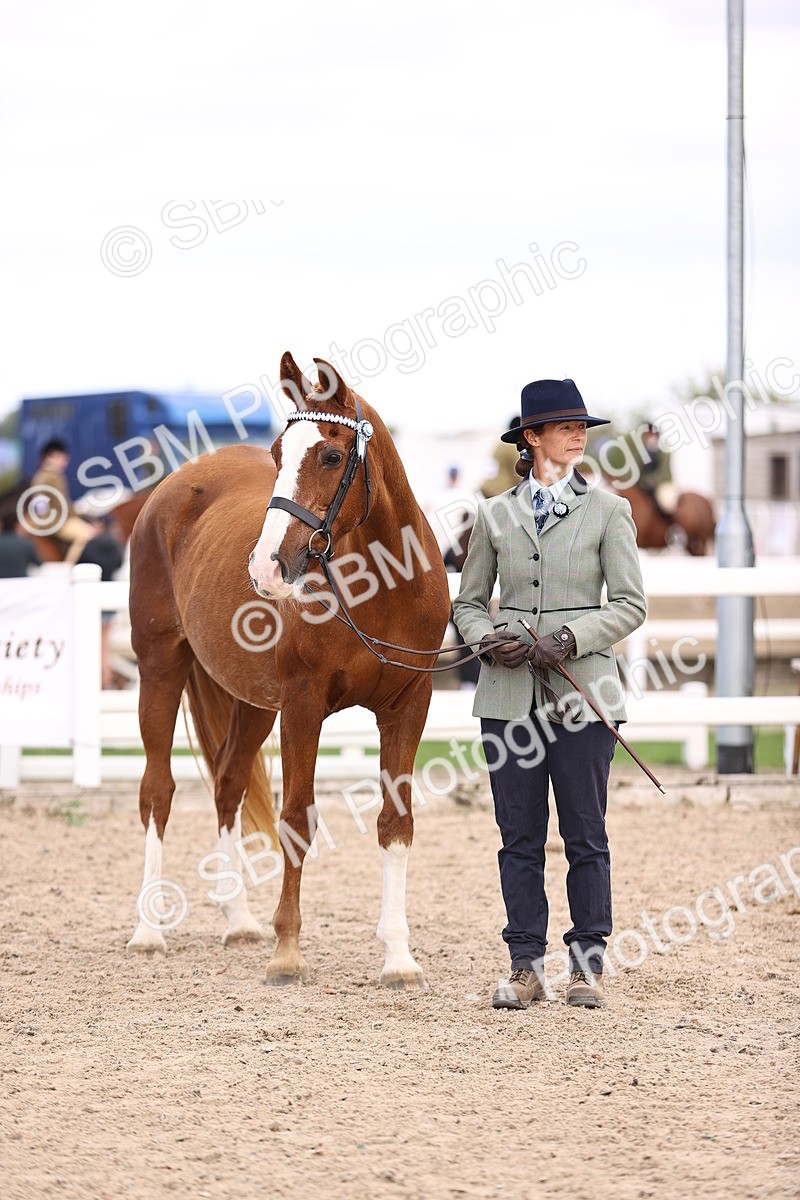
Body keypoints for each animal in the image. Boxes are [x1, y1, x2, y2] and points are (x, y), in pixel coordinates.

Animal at [126, 353, 452, 988]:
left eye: (330, 456)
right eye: (277, 452)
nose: (267, 567)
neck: (382, 587)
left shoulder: (408, 705)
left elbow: (395, 823)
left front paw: (398, 958)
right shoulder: (303, 706)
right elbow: (296, 819)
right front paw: (287, 952)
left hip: (253, 703)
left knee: (228, 786)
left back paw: (237, 920)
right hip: (160, 669)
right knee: (158, 791)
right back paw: (148, 930)